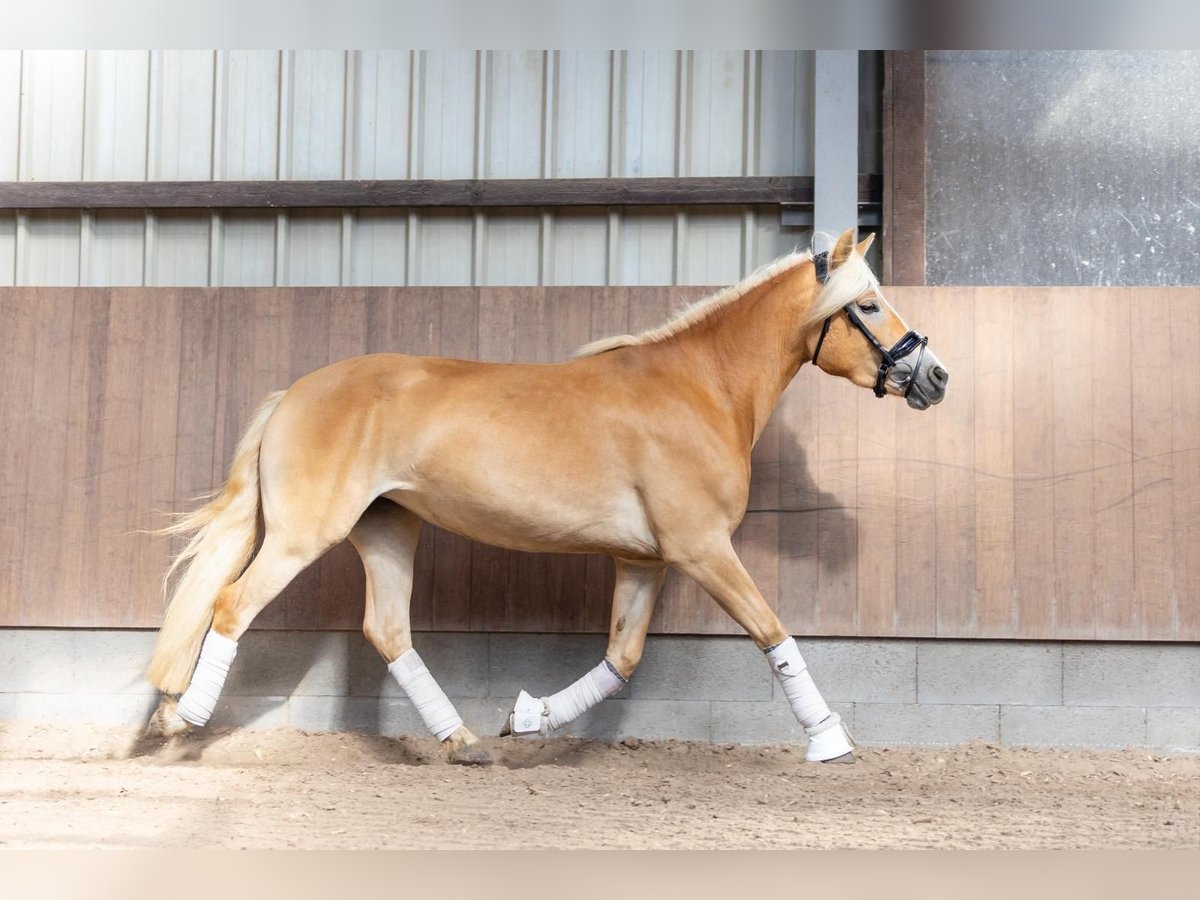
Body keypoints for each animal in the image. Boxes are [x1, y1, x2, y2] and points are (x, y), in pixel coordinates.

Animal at [142, 229, 945, 763]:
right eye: (871, 305)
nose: (934, 377)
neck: (701, 388)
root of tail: (292, 394)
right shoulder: (701, 549)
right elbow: (772, 631)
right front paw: (831, 740)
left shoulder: (645, 561)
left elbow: (622, 658)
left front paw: (527, 718)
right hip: (304, 534)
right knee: (232, 606)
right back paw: (181, 722)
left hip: (388, 530)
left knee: (388, 630)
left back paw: (463, 740)